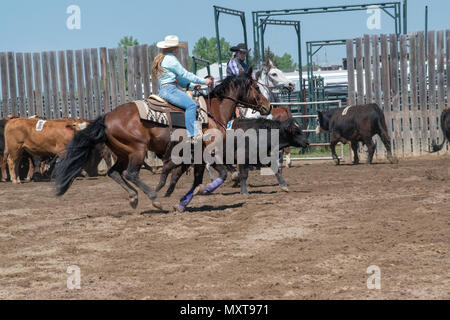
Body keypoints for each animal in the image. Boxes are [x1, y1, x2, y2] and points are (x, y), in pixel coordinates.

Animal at [54, 72, 268, 212]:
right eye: (257, 87)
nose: (267, 106)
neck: (212, 113)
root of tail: (106, 118)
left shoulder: (197, 158)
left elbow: (197, 179)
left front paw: (182, 203)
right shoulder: (210, 152)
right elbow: (221, 175)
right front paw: (205, 190)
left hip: (123, 153)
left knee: (114, 172)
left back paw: (134, 197)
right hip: (137, 150)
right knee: (130, 173)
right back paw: (153, 198)